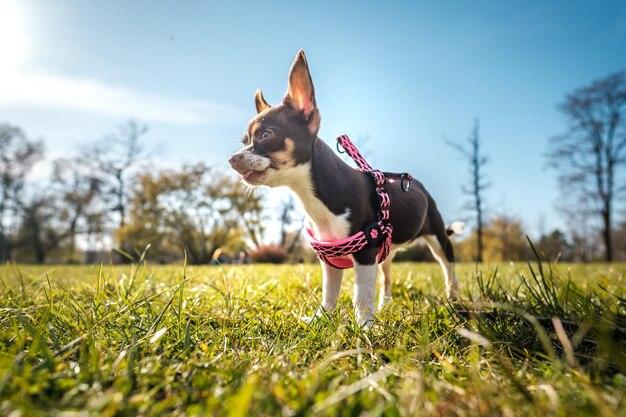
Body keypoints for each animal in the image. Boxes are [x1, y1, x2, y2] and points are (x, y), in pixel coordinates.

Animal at [227, 50, 460, 326]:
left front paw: (365, 328)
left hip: (438, 238)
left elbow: (361, 296)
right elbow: (330, 292)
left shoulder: (365, 254)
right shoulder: (330, 260)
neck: (313, 201)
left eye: (266, 135)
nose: (232, 159)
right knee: (387, 277)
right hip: (387, 252)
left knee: (448, 269)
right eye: (245, 141)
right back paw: (386, 304)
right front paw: (320, 318)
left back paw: (453, 300)